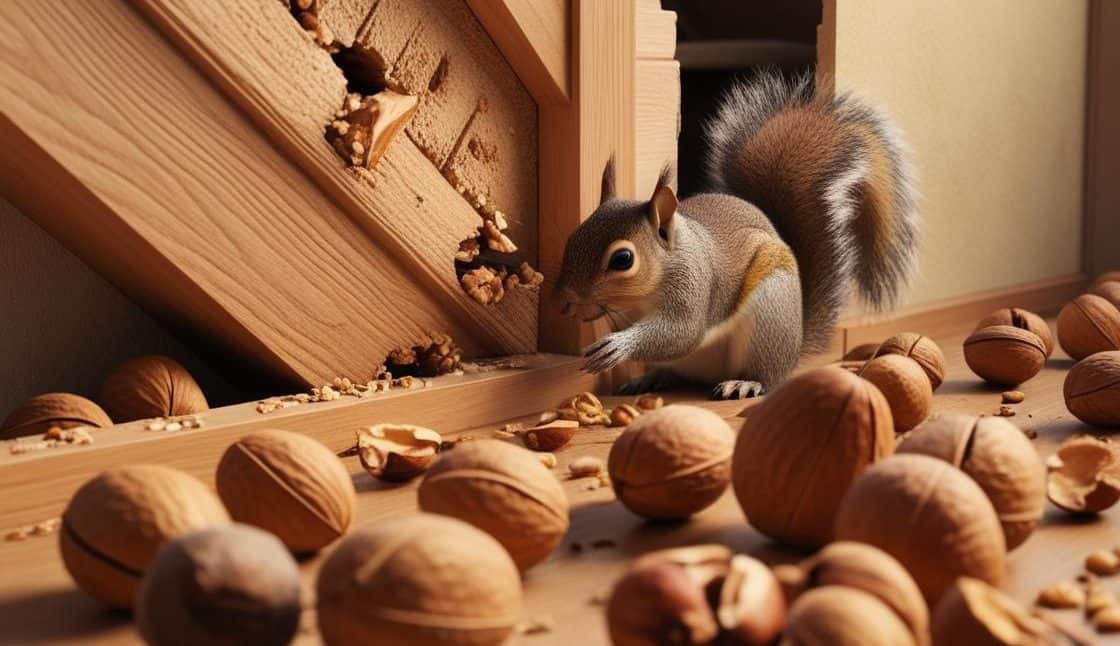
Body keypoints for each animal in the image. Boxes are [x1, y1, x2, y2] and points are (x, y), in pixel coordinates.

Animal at [555, 71, 919, 399]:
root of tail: (795, 347)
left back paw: (746, 383)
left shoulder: (694, 283)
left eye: (623, 259)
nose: (565, 298)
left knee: (766, 374)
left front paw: (619, 345)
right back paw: (652, 377)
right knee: (676, 371)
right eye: (572, 237)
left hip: (769, 314)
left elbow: (681, 332)